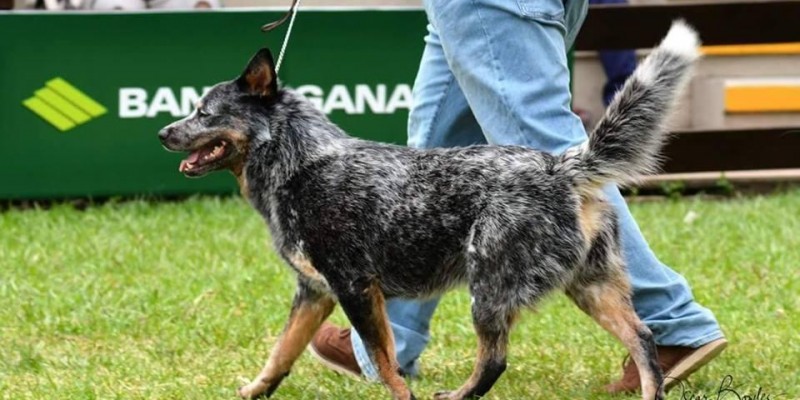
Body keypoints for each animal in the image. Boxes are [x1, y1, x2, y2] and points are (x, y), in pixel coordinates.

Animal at [159, 21, 704, 400]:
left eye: (204, 113)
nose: (163, 132)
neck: (300, 164)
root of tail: (562, 167)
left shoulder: (354, 287)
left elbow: (385, 363)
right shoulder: (314, 292)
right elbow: (280, 354)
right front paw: (254, 391)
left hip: (488, 288)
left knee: (494, 361)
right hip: (588, 287)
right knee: (643, 339)